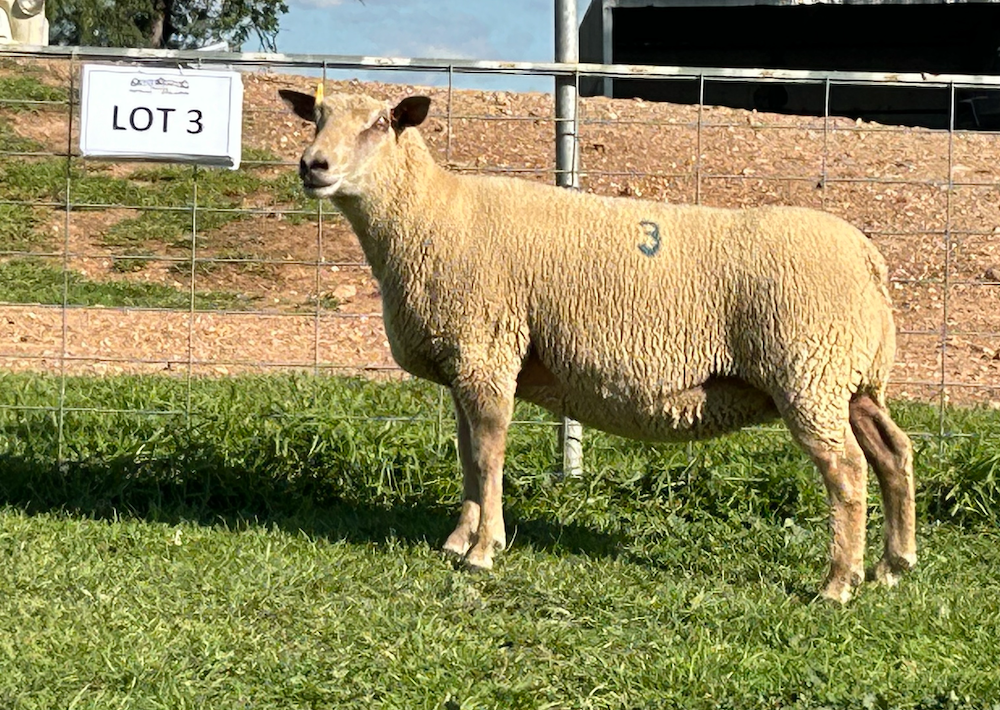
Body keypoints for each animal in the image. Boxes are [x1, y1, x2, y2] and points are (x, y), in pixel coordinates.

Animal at [279, 87, 916, 603]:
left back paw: (838, 583)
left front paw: (484, 550)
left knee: (847, 472)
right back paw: (894, 565)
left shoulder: (487, 351)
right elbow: (467, 455)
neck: (430, 216)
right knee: (893, 452)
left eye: (379, 123)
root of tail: (870, 257)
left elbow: (488, 454)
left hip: (809, 372)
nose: (313, 166)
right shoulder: (465, 362)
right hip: (851, 380)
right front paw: (459, 540)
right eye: (317, 117)